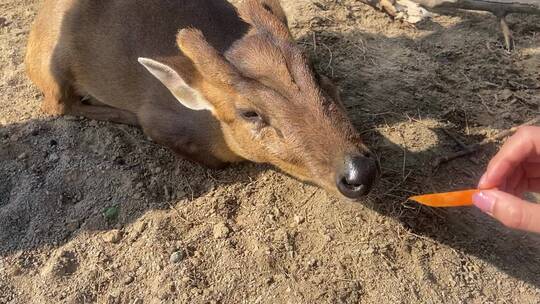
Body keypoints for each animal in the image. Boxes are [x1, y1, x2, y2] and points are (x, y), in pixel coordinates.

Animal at [24, 0, 380, 200]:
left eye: (316, 72)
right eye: (249, 113)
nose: (359, 173)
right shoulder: (160, 122)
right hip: (53, 68)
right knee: (58, 105)